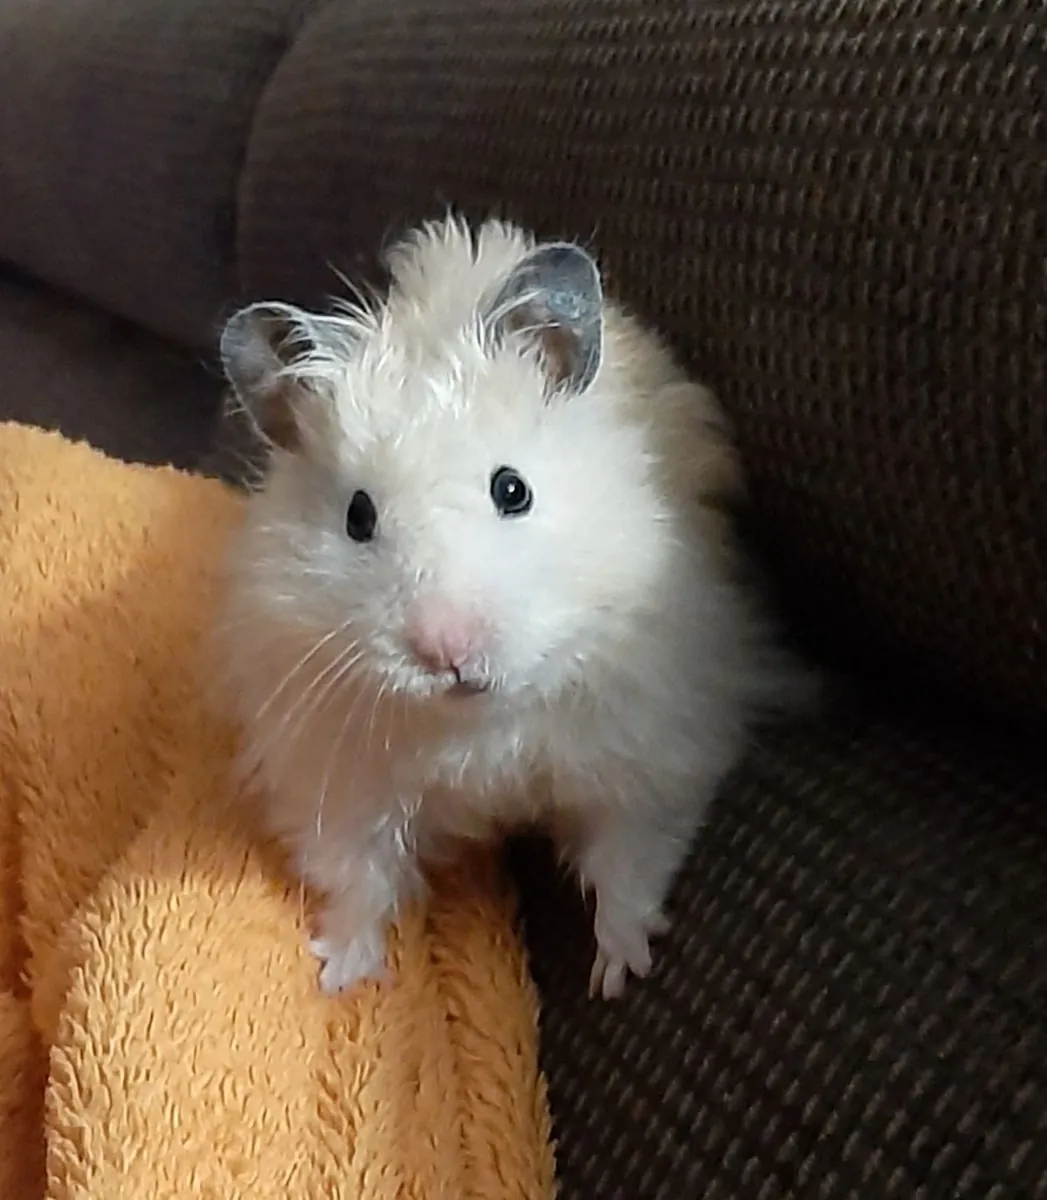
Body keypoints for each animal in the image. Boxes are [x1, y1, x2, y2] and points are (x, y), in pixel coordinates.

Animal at [211, 215, 810, 1000]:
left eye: (512, 489)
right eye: (357, 516)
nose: (448, 652)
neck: (481, 726)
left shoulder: (652, 748)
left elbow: (629, 858)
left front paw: (619, 973)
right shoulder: (336, 775)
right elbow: (359, 876)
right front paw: (341, 974)